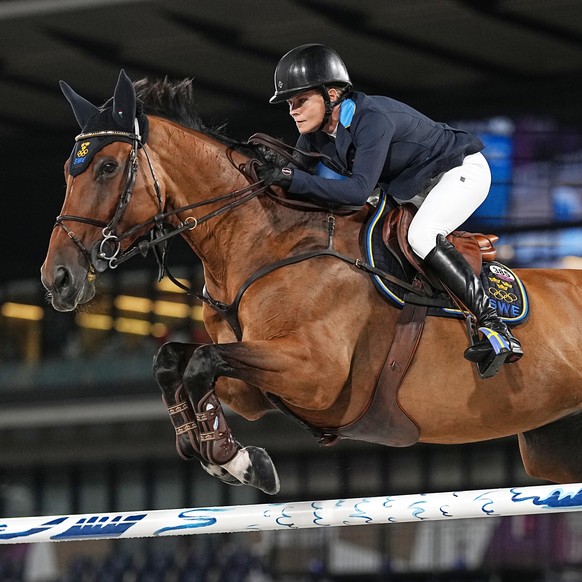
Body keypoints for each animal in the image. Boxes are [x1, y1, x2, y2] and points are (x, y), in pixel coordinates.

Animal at [43, 70, 582, 496]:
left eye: (108, 166)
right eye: (68, 171)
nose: (57, 279)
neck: (261, 242)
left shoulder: (316, 374)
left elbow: (201, 363)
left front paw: (236, 461)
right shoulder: (258, 391)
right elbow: (174, 361)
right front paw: (221, 452)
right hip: (553, 444)